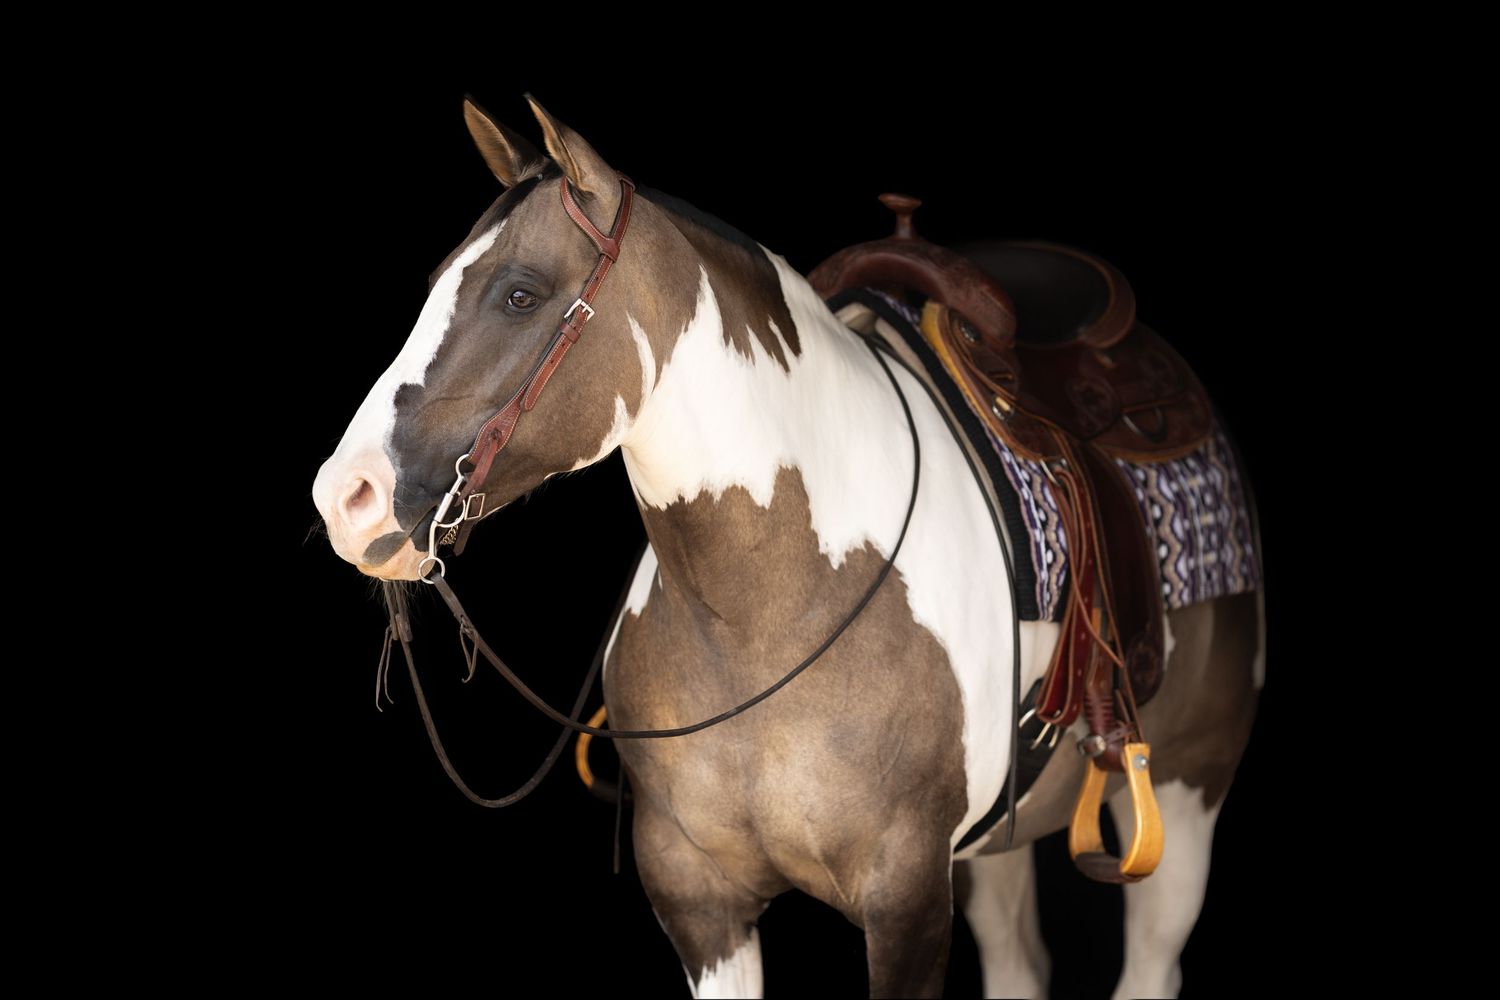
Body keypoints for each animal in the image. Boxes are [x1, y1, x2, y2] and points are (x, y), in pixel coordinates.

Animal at [311, 95, 1263, 999]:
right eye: (435, 284)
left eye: (519, 293)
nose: (346, 498)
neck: (764, 608)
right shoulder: (701, 902)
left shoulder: (907, 905)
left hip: (1184, 801)